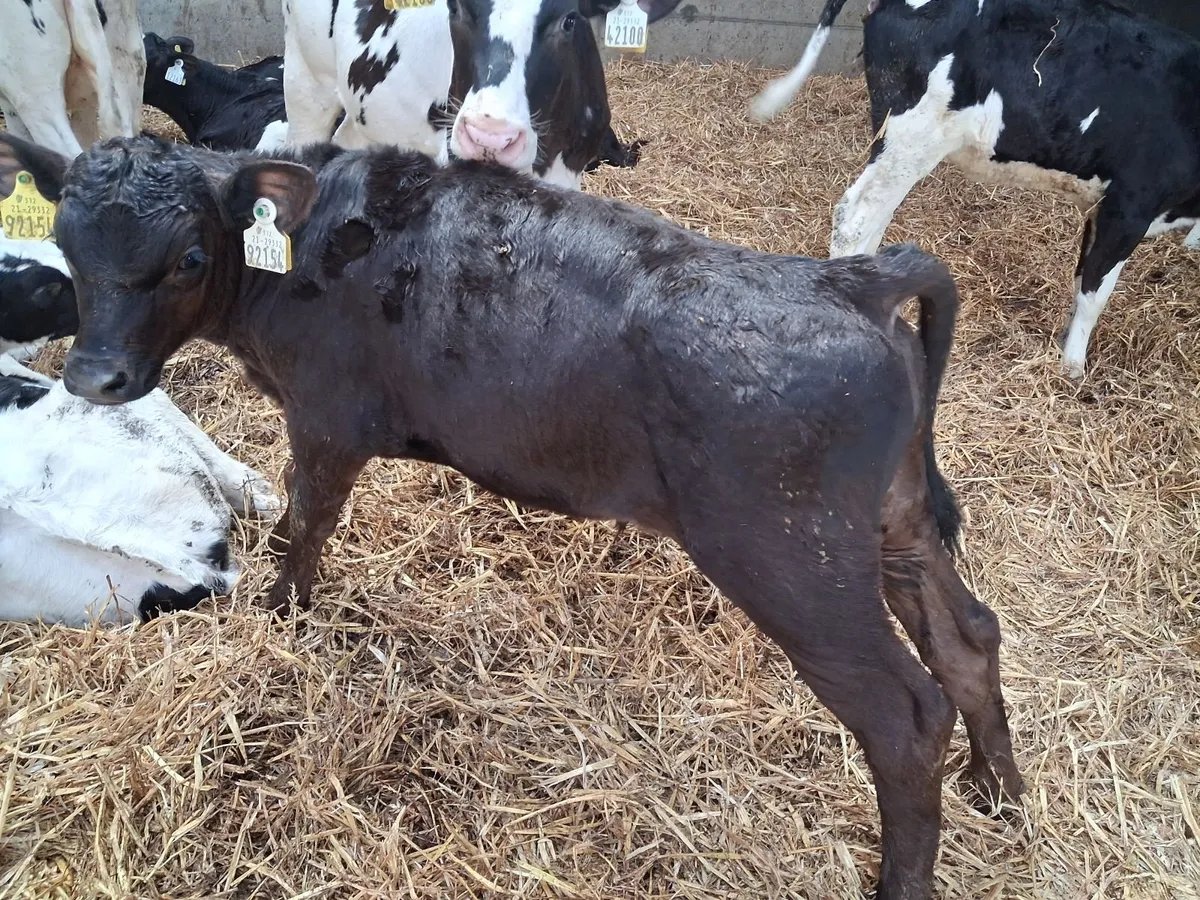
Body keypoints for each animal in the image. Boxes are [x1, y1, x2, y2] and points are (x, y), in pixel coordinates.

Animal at [751, 0, 1200, 379]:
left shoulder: (1100, 206)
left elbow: (1081, 278)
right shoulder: (1129, 206)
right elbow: (1096, 291)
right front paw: (1073, 366)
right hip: (910, 135)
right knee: (856, 216)